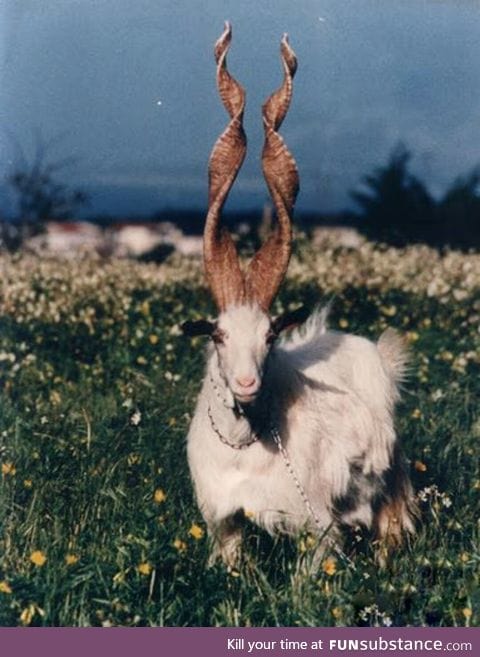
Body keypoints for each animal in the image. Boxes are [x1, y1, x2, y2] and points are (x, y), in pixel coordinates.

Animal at [184, 24, 416, 568]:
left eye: (270, 336)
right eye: (218, 335)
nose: (246, 383)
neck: (245, 447)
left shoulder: (321, 529)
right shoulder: (223, 524)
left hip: (391, 490)